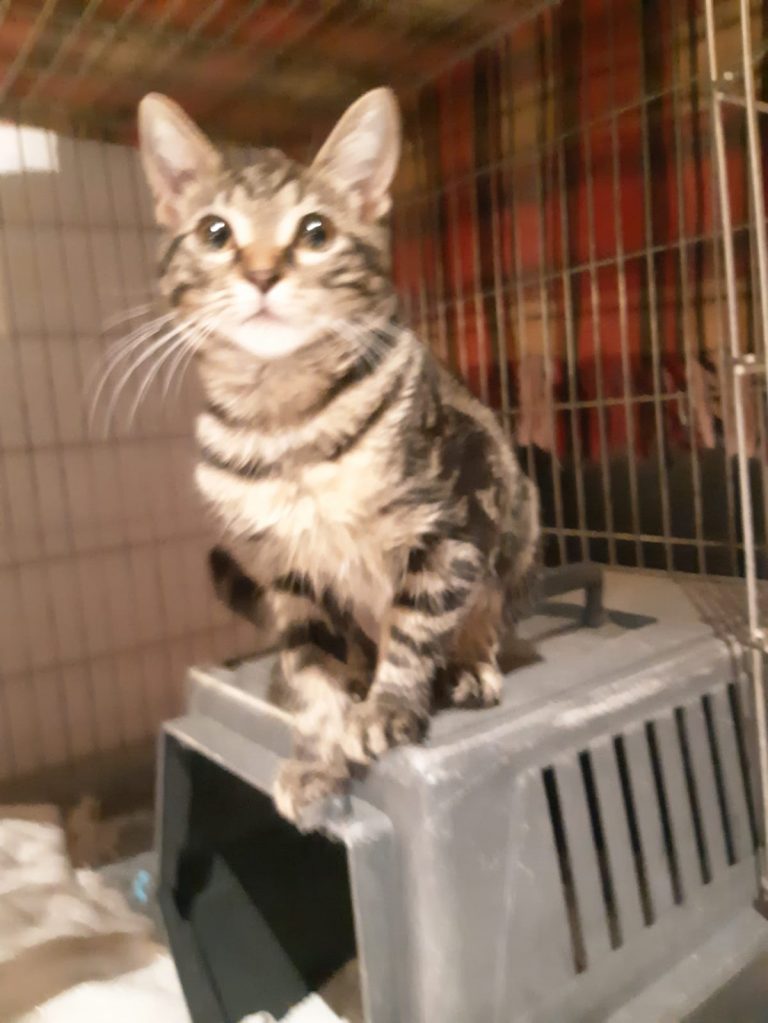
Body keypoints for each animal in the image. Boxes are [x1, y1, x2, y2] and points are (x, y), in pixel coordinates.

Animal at [137, 87, 540, 824]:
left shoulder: (455, 513)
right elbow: (313, 667)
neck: (287, 426)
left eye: (315, 232)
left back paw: (469, 665)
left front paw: (388, 704)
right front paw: (320, 754)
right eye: (215, 232)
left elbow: (415, 620)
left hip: (518, 519)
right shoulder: (289, 574)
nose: (262, 272)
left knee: (485, 612)